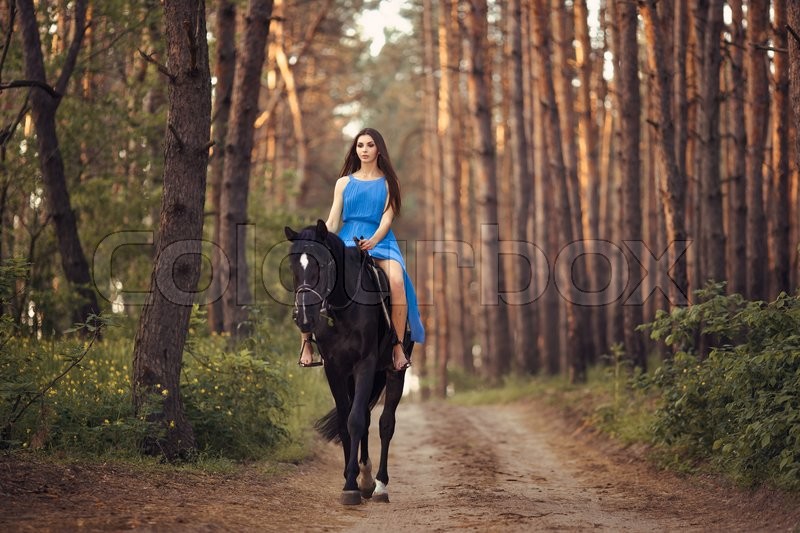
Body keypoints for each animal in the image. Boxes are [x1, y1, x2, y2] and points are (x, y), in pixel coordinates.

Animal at [284, 218, 412, 504]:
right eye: (293, 265)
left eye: (323, 264)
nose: (303, 316)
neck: (343, 308)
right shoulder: (336, 368)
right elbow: (346, 421)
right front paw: (351, 479)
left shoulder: (365, 364)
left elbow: (355, 421)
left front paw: (352, 486)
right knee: (365, 414)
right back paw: (365, 478)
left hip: (392, 371)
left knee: (385, 423)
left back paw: (380, 485)